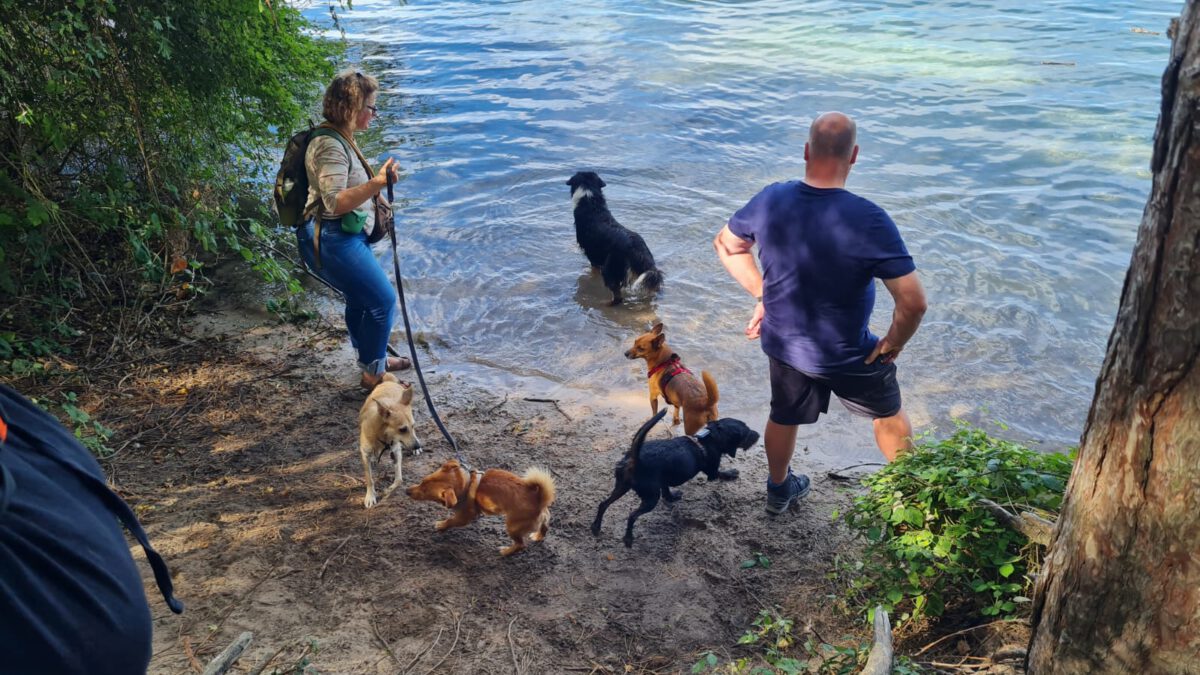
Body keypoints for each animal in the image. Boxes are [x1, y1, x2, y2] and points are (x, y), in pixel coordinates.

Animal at [360, 369, 422, 506]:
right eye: (402, 429)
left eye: (413, 426)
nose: (417, 445)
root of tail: (389, 382)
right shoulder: (365, 454)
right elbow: (369, 478)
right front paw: (370, 496)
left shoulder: (396, 450)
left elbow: (399, 479)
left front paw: (389, 490)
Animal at [403, 456, 552, 557]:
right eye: (422, 481)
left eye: (424, 491)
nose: (406, 491)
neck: (465, 484)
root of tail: (539, 499)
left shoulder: (464, 517)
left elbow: (451, 520)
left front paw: (441, 525)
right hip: (542, 519)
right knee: (545, 527)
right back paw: (538, 536)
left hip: (512, 527)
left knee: (520, 544)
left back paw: (506, 551)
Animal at [592, 408, 758, 542]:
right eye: (746, 432)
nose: (758, 434)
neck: (709, 439)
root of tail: (634, 458)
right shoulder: (712, 472)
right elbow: (721, 473)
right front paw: (732, 472)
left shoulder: (664, 479)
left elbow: (666, 490)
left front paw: (671, 497)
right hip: (650, 497)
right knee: (632, 515)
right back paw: (628, 539)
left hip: (621, 486)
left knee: (603, 504)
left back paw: (596, 527)